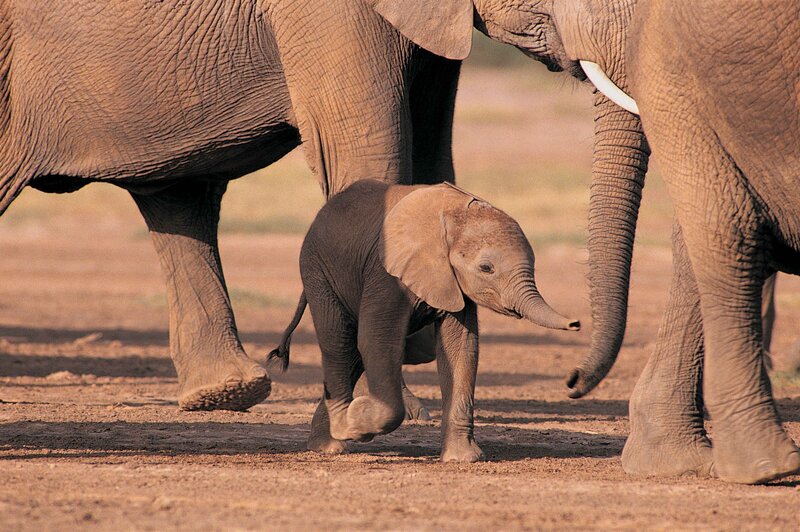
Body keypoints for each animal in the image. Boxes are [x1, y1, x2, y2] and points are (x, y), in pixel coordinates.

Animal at [268, 179, 580, 460]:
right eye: (486, 268)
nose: (576, 324)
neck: (453, 217)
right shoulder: (385, 272)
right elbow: (377, 340)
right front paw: (358, 421)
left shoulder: (452, 282)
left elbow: (461, 348)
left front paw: (463, 459)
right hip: (318, 270)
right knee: (340, 343)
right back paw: (338, 438)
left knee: (353, 354)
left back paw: (327, 441)